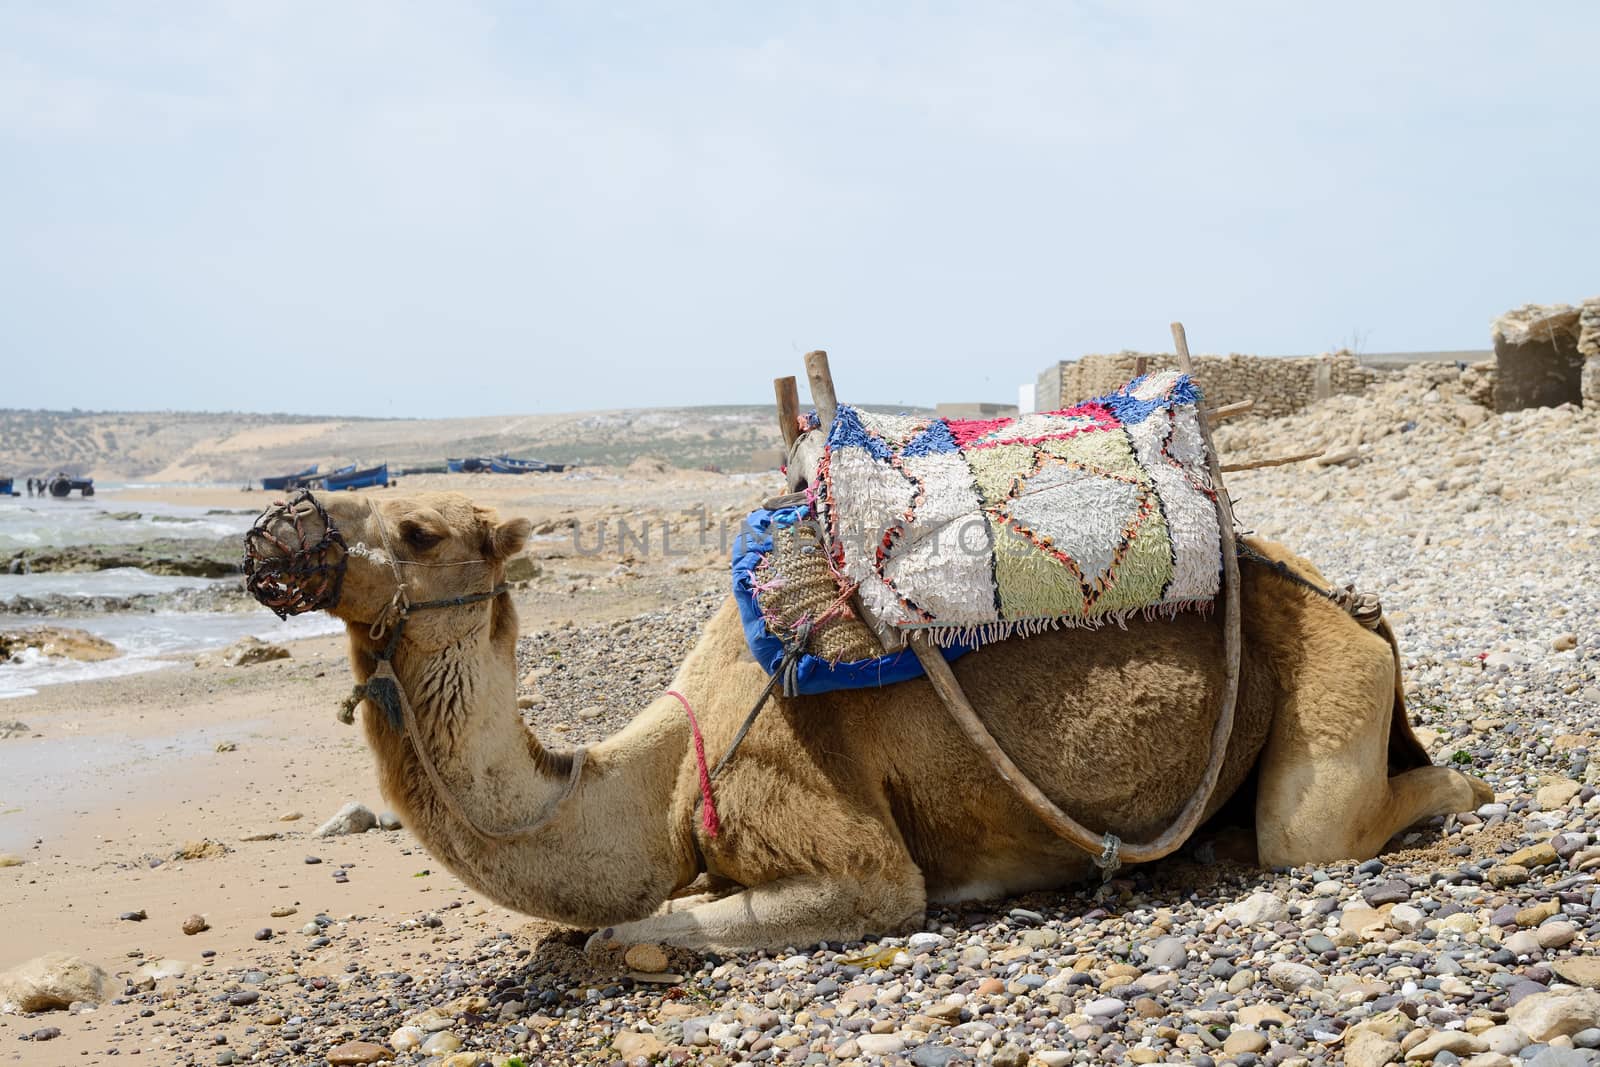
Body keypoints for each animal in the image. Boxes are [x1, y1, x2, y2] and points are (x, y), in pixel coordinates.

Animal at [243, 492, 1491, 953]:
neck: (659, 773)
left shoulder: (848, 854)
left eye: (414, 529)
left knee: (1311, 826)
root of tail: (1344, 593)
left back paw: (1463, 790)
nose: (279, 539)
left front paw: (622, 941)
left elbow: (632, 928)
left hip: (1326, 673)